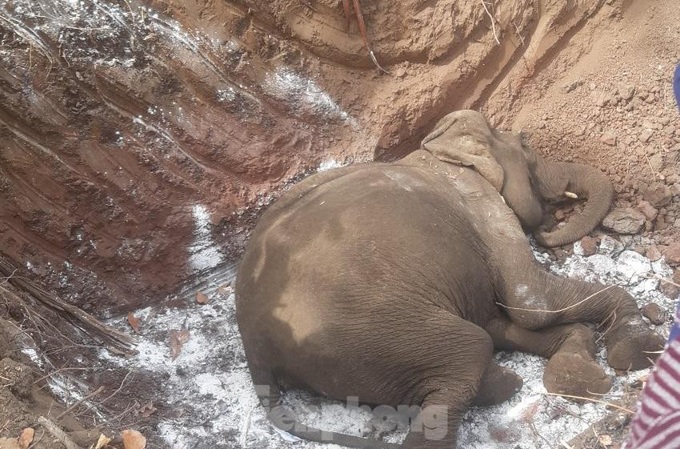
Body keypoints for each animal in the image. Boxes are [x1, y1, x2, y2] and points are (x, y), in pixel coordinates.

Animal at [235, 110, 664, 449]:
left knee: (476, 342)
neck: (440, 147)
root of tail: (256, 352)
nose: (546, 231)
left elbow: (501, 317)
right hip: (370, 336)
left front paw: (576, 370)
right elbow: (530, 302)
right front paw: (639, 350)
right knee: (469, 347)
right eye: (527, 148)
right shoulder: (484, 207)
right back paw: (503, 385)